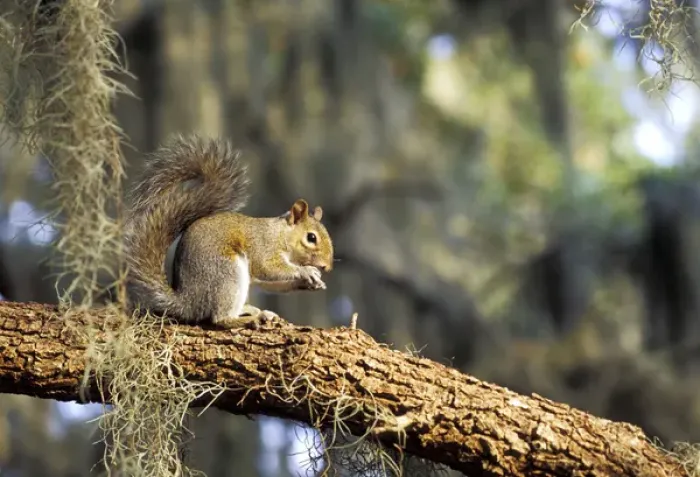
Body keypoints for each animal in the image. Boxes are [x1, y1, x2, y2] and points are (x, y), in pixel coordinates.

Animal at [123, 134, 334, 329]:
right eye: (311, 237)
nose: (327, 267)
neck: (281, 234)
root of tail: (188, 301)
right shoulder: (263, 247)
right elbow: (269, 269)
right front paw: (306, 271)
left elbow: (270, 282)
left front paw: (312, 282)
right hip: (227, 272)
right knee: (220, 318)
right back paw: (255, 318)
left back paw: (252, 310)